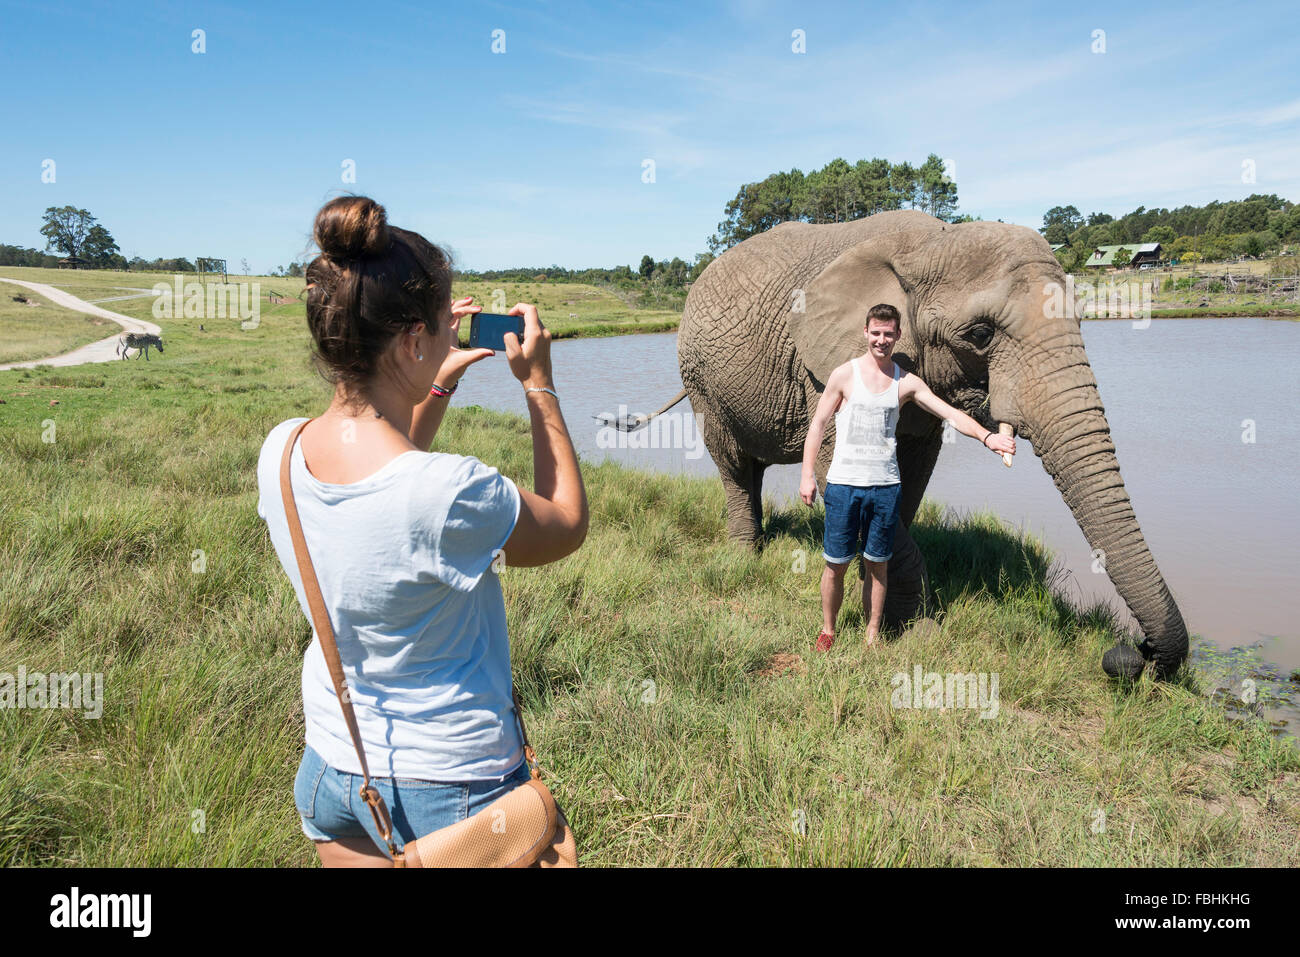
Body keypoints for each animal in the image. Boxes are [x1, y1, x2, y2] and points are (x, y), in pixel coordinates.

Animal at [629, 209, 1190, 681]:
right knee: (735, 466)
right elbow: (841, 474)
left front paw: (887, 604)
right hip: (701, 379)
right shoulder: (823, 366)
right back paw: (747, 555)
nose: (1131, 655)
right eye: (980, 334)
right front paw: (919, 632)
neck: (932, 243)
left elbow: (911, 479)